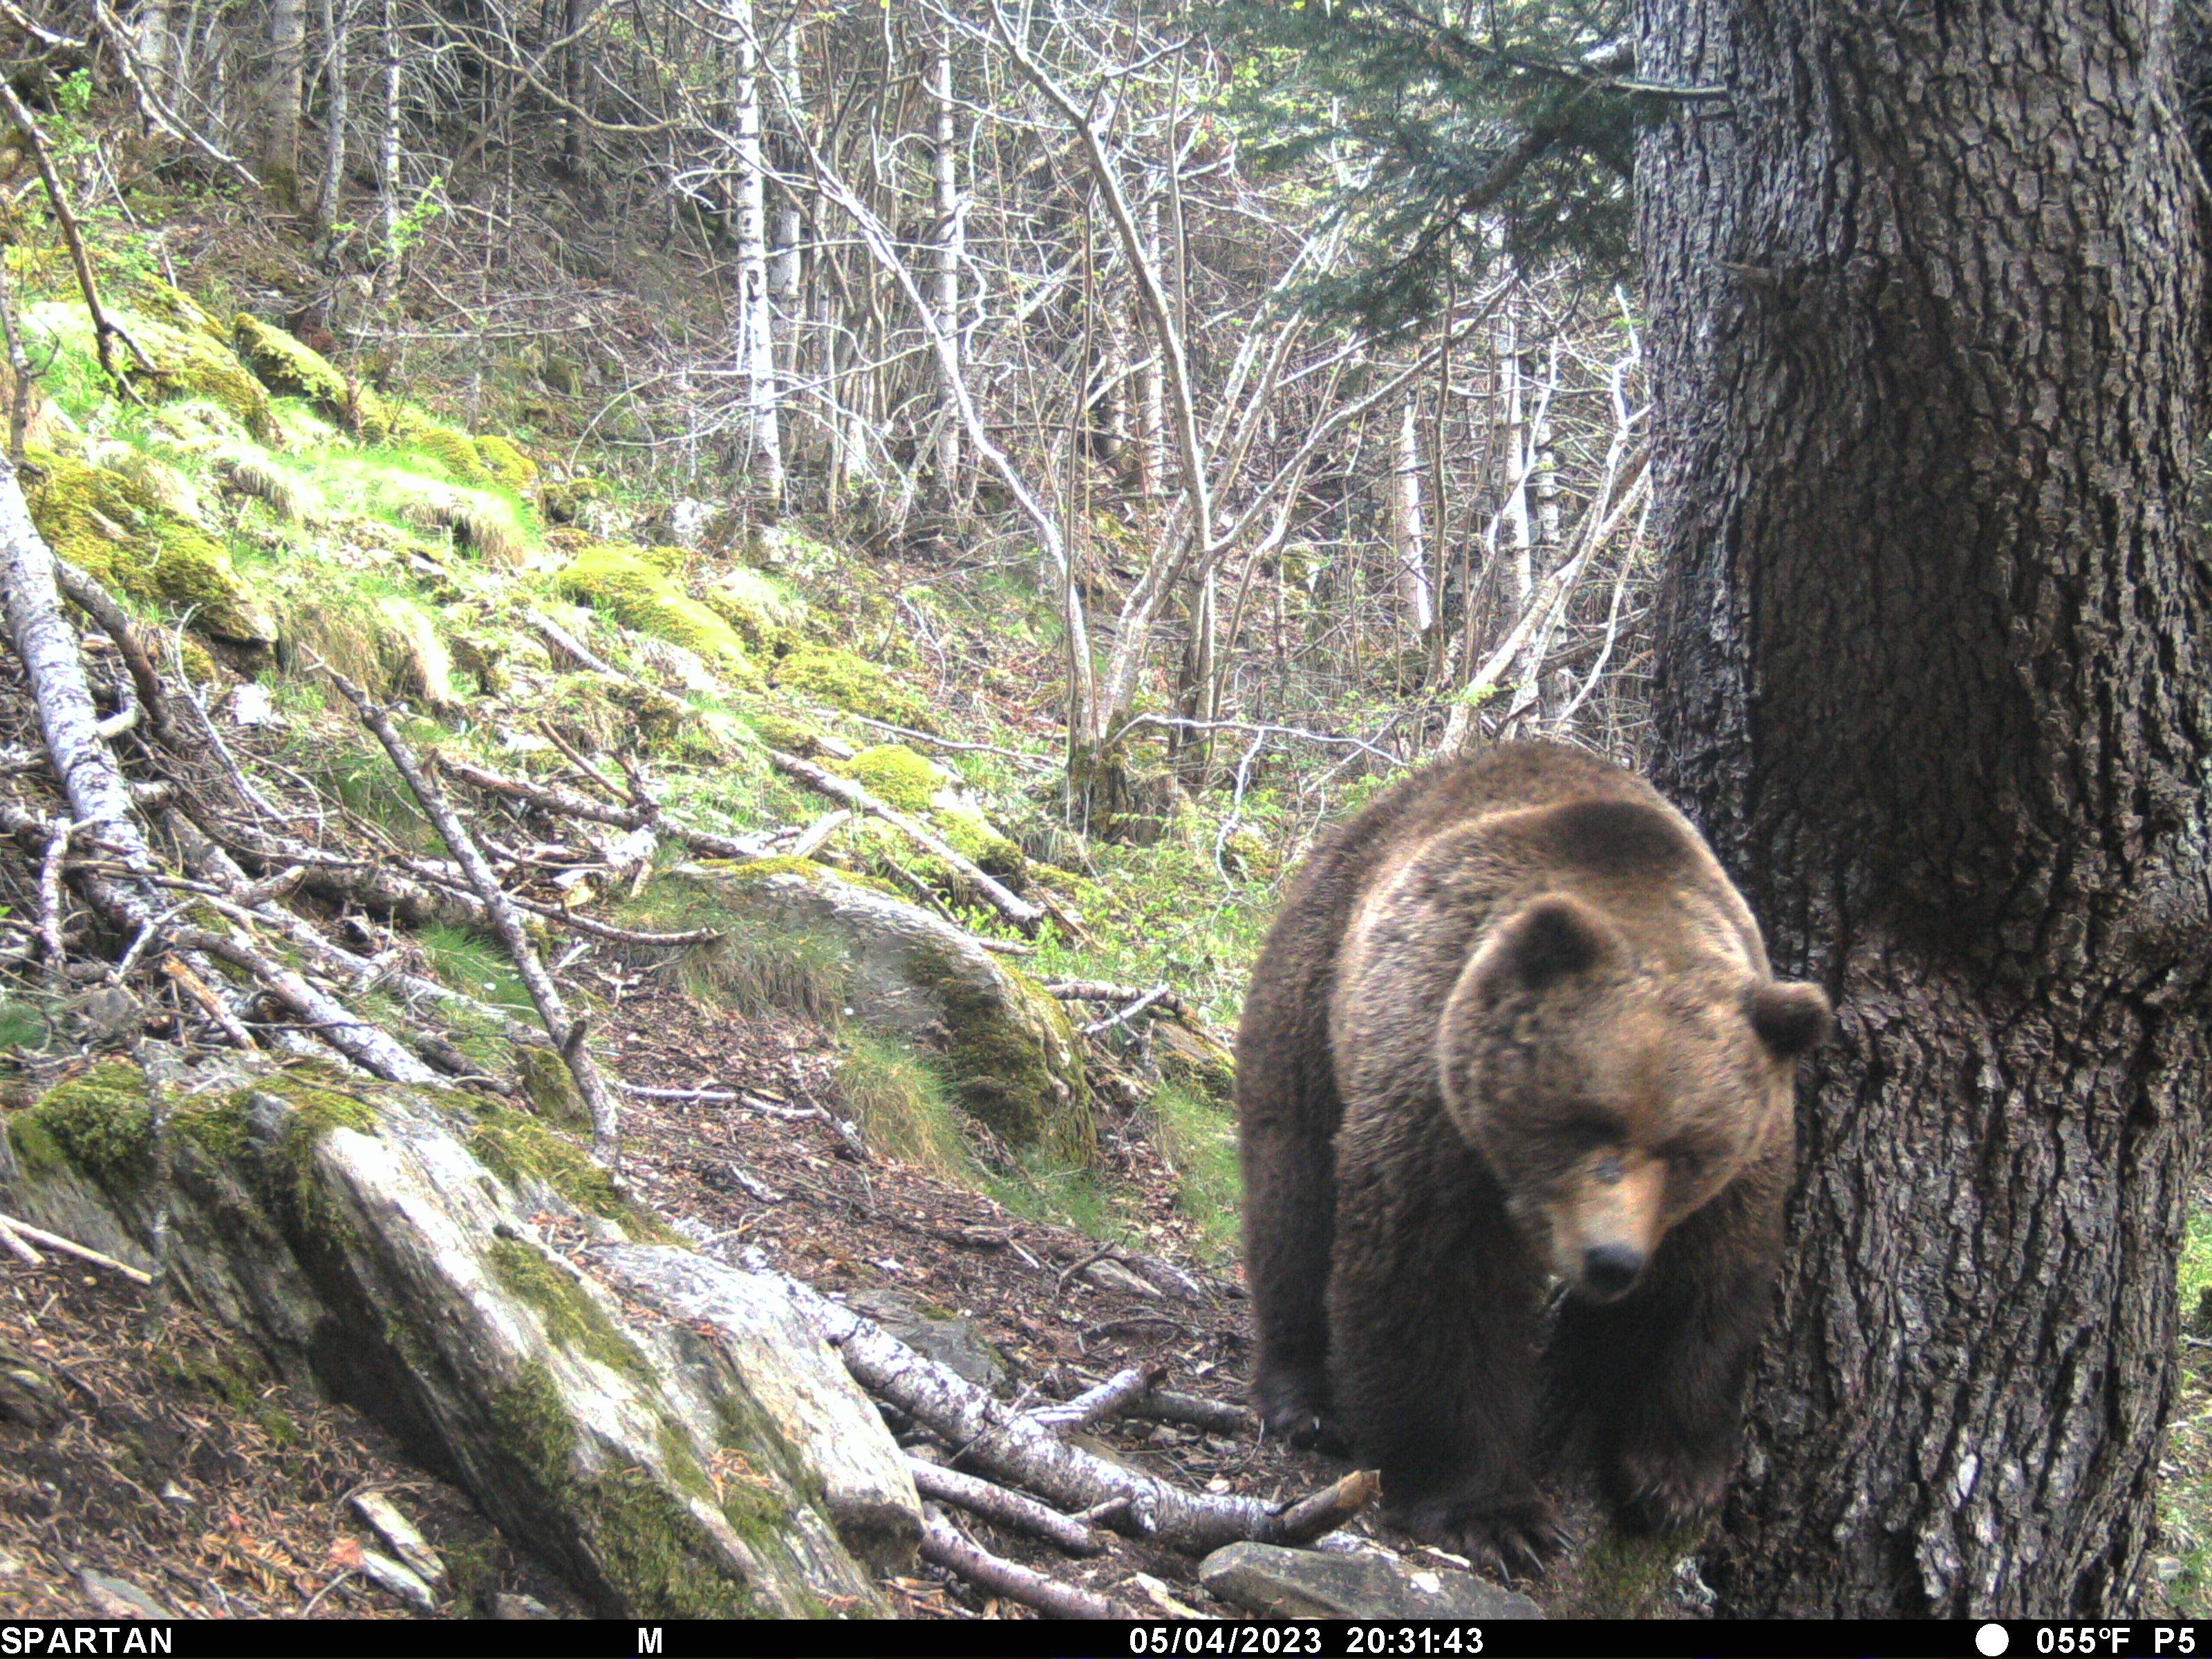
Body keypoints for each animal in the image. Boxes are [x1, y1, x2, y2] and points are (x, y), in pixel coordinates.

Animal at [1230, 743, 1831, 1584]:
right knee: (1295, 1189)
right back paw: (1304, 1397)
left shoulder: (1744, 1163)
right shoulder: (1437, 1102)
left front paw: (1672, 1479)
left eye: (1687, 1149)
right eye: (1584, 1122)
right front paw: (1498, 1516)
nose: (1610, 1259)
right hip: (1316, 987)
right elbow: (1436, 1285)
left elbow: (1706, 1290)